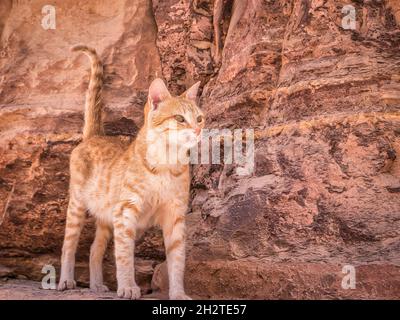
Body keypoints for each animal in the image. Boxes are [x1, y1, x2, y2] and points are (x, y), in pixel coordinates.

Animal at [57, 45, 205, 300]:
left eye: (199, 118)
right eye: (179, 118)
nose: (197, 130)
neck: (167, 163)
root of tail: (94, 136)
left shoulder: (175, 215)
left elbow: (177, 260)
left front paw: (177, 293)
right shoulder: (126, 211)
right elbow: (124, 256)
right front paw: (127, 286)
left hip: (106, 219)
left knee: (94, 249)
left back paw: (96, 285)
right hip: (77, 206)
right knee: (69, 245)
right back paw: (66, 280)